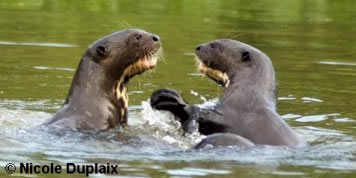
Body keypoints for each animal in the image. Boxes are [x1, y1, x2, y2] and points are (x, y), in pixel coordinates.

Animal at [150, 39, 304, 149]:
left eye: (214, 45)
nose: (199, 47)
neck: (246, 97)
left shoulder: (228, 115)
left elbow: (199, 115)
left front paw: (170, 98)